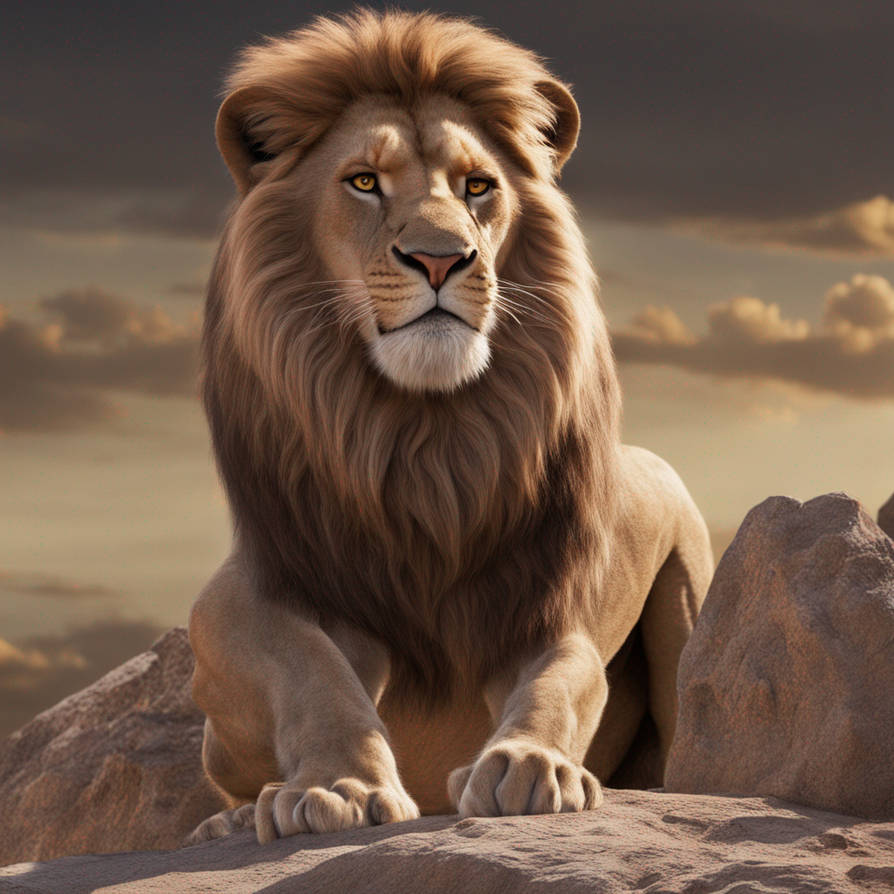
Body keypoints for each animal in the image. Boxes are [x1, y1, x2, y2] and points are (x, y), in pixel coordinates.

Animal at [187, 9, 713, 844]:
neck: (424, 438)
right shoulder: (248, 592)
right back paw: (229, 823)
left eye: (478, 186)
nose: (442, 260)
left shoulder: (543, 606)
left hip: (688, 588)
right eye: (363, 181)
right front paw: (337, 784)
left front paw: (531, 764)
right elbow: (308, 667)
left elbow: (564, 680)